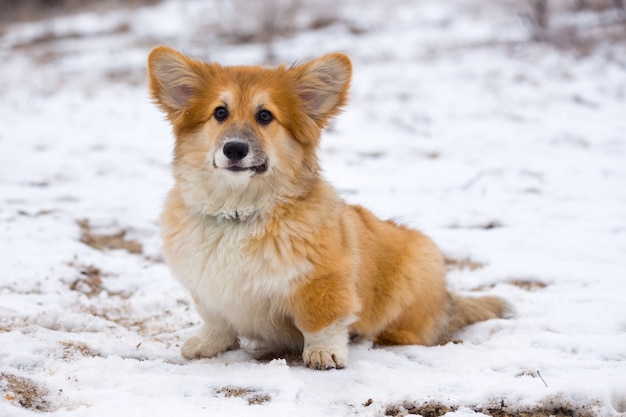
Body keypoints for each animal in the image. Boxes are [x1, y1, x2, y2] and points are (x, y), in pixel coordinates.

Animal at [146, 47, 508, 368]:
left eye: (265, 116)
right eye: (219, 113)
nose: (234, 149)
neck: (238, 212)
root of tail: (448, 301)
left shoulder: (322, 282)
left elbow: (321, 323)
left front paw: (324, 353)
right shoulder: (208, 290)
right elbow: (217, 321)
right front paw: (207, 343)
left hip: (418, 265)